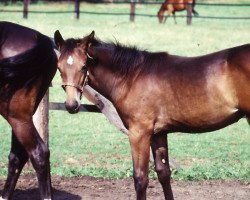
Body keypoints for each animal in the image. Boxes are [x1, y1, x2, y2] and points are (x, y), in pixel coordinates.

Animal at [54, 30, 250, 199]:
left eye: (84, 66)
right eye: (59, 67)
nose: (71, 105)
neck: (132, 76)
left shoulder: (139, 133)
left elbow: (141, 178)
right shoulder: (158, 133)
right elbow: (164, 173)